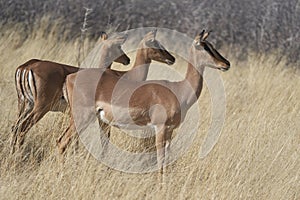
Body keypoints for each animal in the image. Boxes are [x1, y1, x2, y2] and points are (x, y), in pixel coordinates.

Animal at [56, 29, 230, 175]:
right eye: (204, 46)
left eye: (212, 45)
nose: (226, 64)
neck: (179, 89)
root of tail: (69, 78)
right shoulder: (160, 128)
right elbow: (160, 162)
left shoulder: (170, 130)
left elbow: (166, 161)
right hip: (82, 118)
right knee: (63, 142)